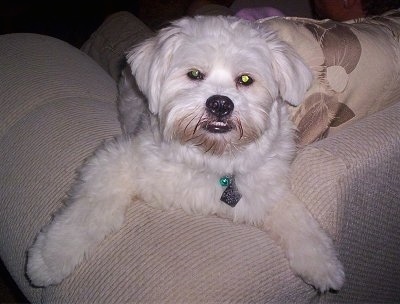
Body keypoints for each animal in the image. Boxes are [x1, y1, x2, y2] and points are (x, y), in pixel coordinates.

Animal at [25, 16, 344, 292]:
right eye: (194, 74)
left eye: (245, 79)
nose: (220, 104)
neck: (210, 156)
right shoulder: (116, 162)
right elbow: (88, 209)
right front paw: (51, 256)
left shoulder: (265, 190)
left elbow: (296, 217)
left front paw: (323, 262)